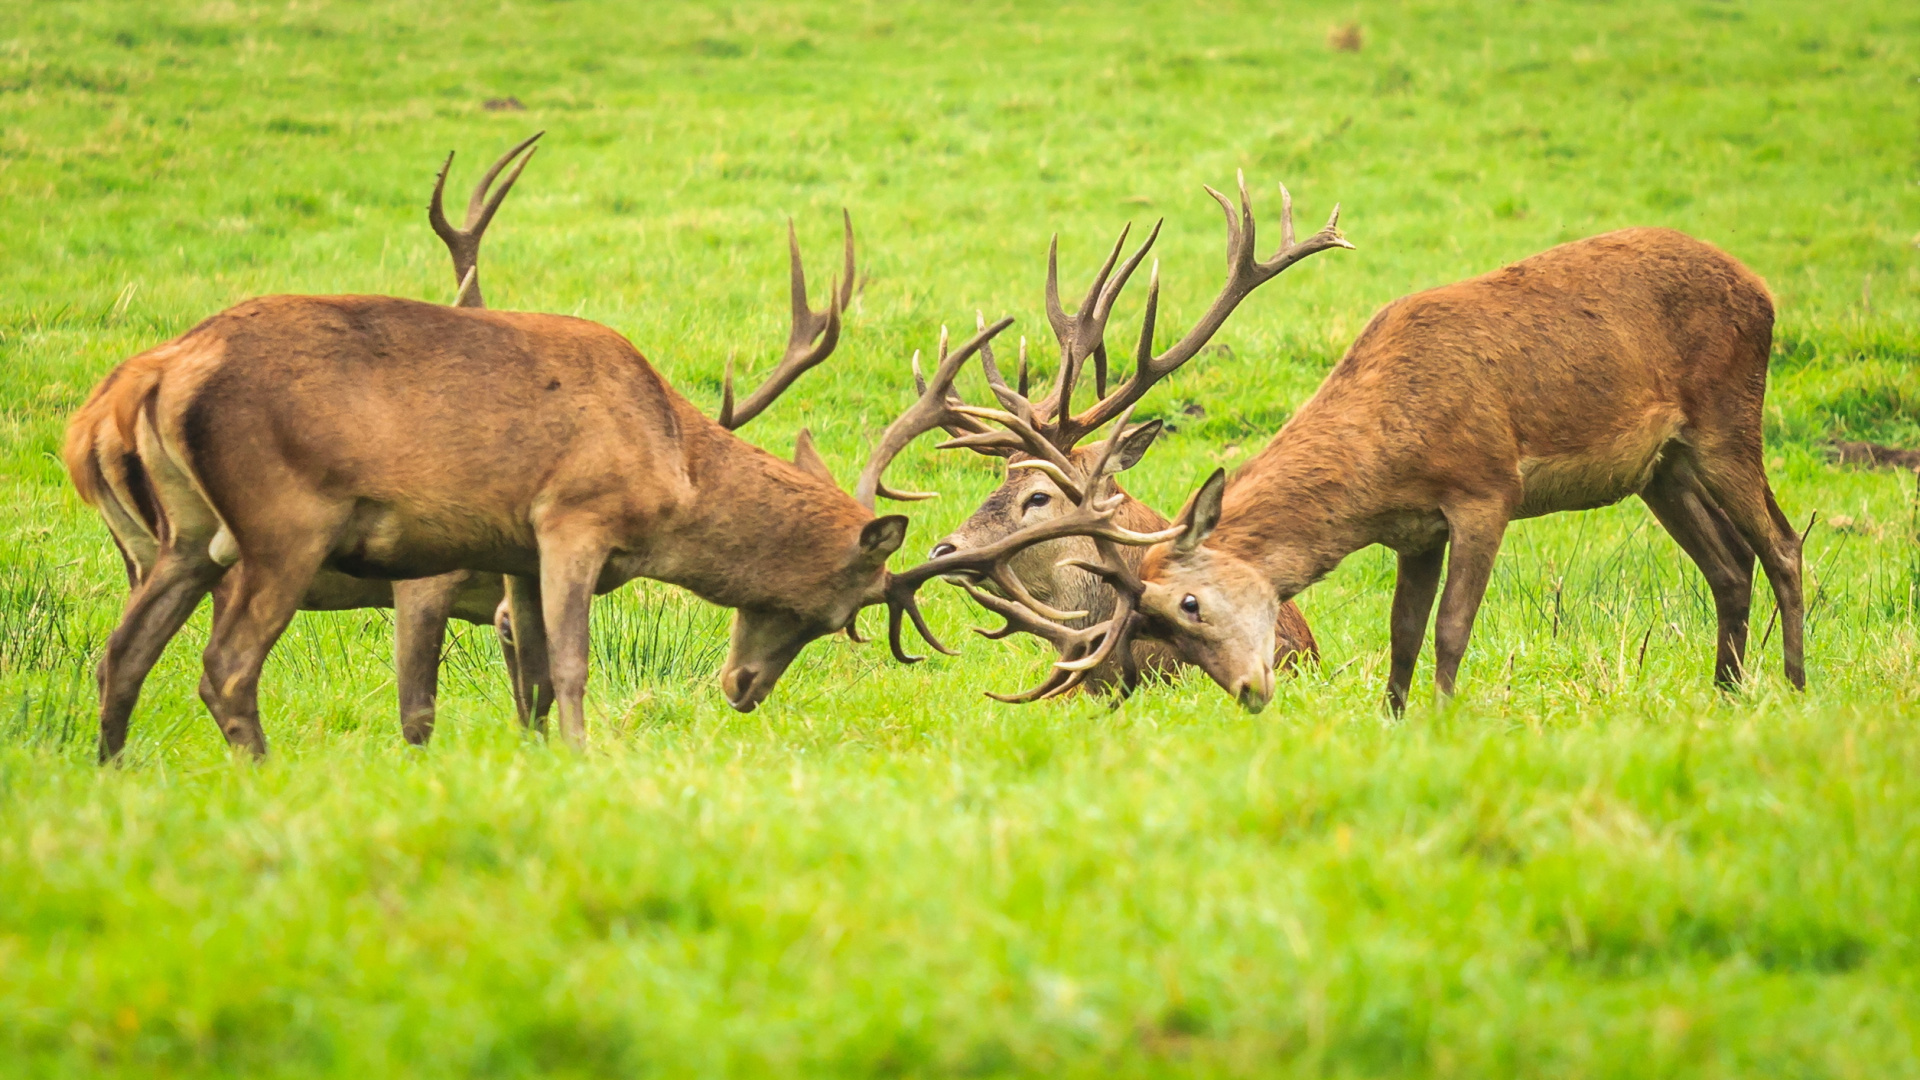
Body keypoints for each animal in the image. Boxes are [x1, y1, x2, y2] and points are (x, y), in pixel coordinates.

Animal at [967, 223, 1804, 711]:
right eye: (1158, 632)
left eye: (1188, 606)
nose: (1247, 692)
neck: (1388, 454)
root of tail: (1763, 288)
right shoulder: (1414, 530)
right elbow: (1402, 636)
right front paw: (1396, 720)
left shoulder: (1486, 488)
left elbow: (1452, 629)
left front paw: (1443, 719)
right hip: (1660, 468)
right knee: (1728, 563)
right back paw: (1726, 693)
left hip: (1729, 415)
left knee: (1783, 543)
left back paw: (1795, 685)